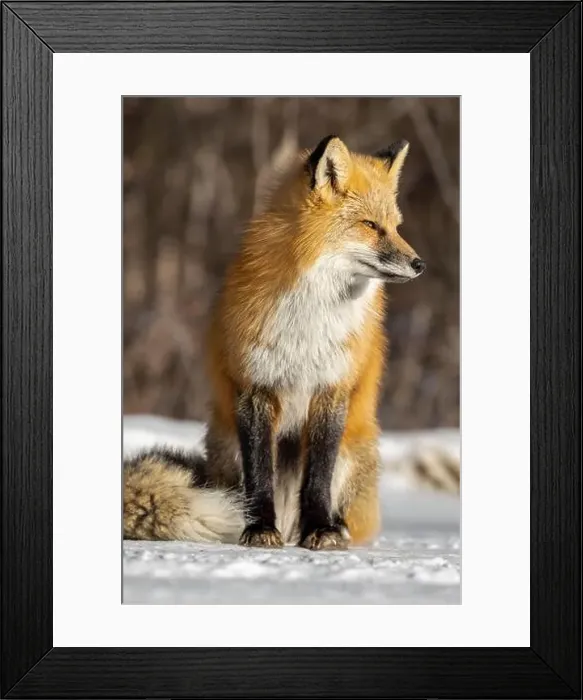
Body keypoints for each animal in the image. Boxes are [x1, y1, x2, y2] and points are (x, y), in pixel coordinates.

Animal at [124, 135, 457, 550]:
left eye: (396, 227)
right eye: (369, 225)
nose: (420, 264)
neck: (309, 318)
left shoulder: (331, 389)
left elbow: (318, 477)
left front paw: (322, 529)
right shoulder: (255, 389)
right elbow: (259, 476)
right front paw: (259, 528)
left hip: (352, 448)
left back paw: (332, 527)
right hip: (229, 447)